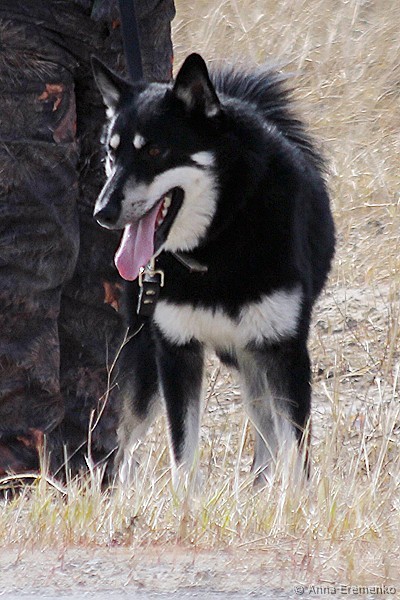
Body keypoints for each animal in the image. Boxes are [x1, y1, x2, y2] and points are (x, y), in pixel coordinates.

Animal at [92, 53, 335, 487]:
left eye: (155, 151)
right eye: (111, 152)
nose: (103, 212)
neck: (219, 239)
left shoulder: (283, 348)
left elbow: (296, 452)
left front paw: (295, 501)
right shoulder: (175, 351)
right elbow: (182, 454)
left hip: (253, 354)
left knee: (266, 429)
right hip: (147, 356)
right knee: (127, 442)